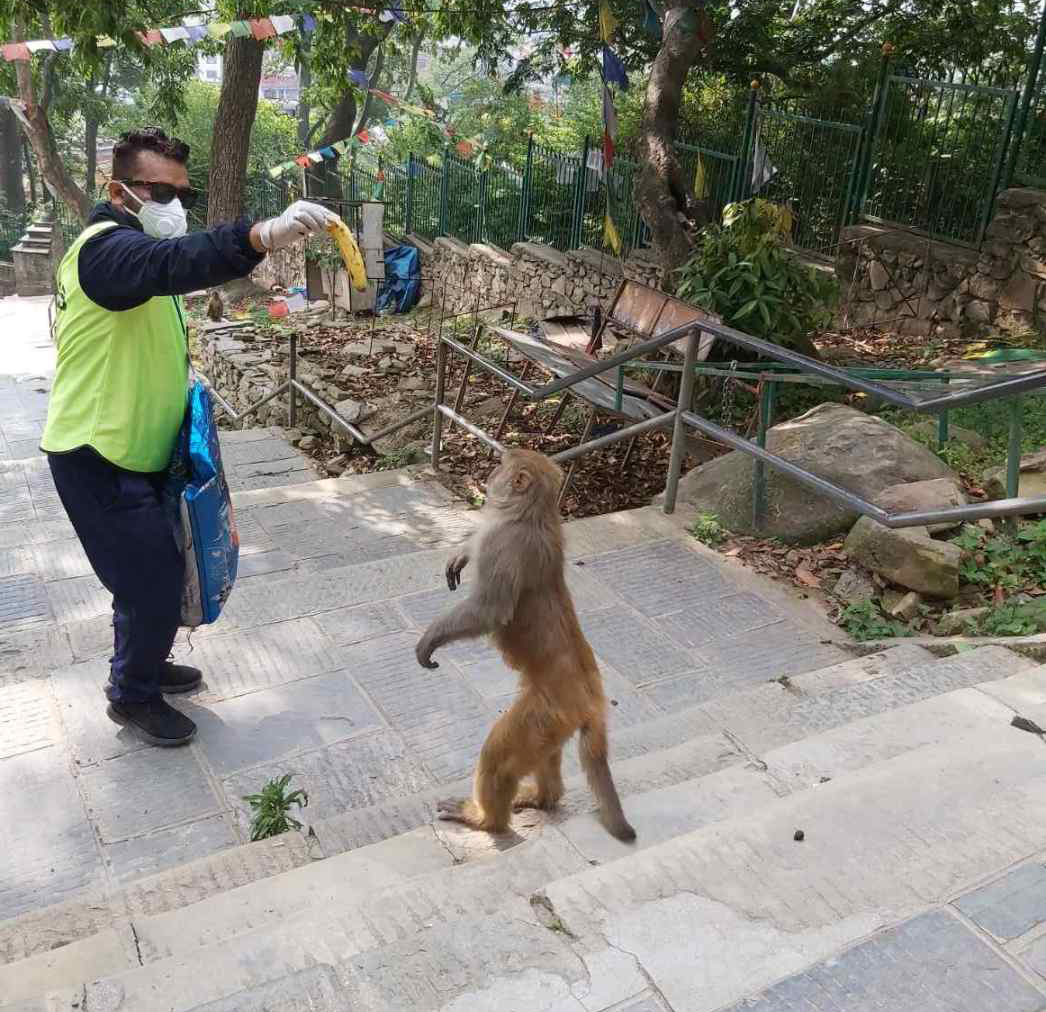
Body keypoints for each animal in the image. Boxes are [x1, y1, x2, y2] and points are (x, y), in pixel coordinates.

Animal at [416, 447, 635, 841]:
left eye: (501, 464)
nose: (489, 474)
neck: (532, 516)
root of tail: (592, 698)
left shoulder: (505, 543)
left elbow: (490, 611)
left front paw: (430, 639)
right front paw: (463, 552)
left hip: (547, 713)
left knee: (499, 759)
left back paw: (486, 820)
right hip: (554, 720)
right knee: (544, 755)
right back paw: (545, 797)